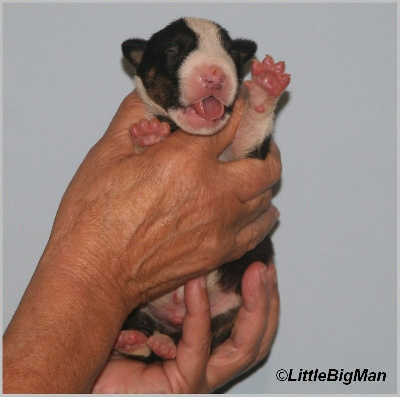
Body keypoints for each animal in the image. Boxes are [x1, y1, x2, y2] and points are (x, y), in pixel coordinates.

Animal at [114, 17, 290, 360]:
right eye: (173, 51)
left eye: (231, 53)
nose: (214, 76)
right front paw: (149, 136)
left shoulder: (243, 158)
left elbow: (248, 131)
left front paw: (264, 87)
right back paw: (134, 341)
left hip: (230, 306)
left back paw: (161, 344)